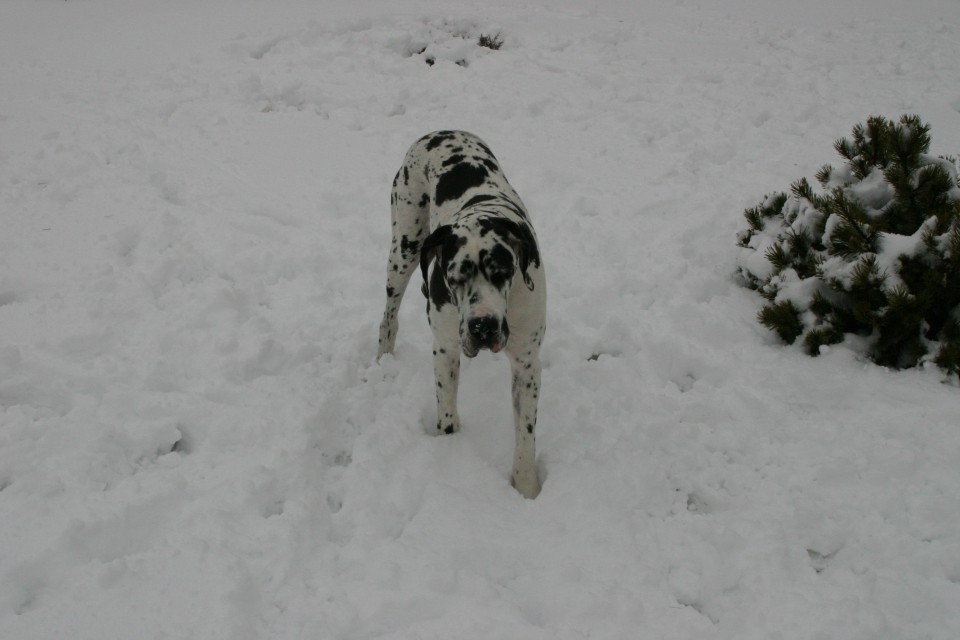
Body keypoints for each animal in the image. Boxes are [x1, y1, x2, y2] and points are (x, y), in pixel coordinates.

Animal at [376, 131, 544, 500]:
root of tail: (440, 131)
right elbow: (447, 415)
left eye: (502, 271)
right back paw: (382, 359)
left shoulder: (526, 362)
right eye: (454, 276)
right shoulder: (445, 349)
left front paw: (526, 488)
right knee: (388, 316)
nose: (483, 327)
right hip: (404, 248)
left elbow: (525, 435)